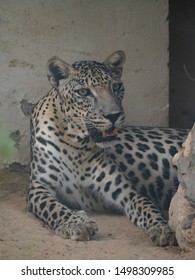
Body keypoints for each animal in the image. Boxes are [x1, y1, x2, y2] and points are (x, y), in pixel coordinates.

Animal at [28, 50, 188, 245]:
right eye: (84, 92)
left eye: (116, 87)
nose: (114, 116)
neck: (76, 146)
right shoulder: (39, 187)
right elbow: (53, 207)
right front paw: (76, 223)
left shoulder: (126, 192)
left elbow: (145, 206)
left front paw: (161, 227)